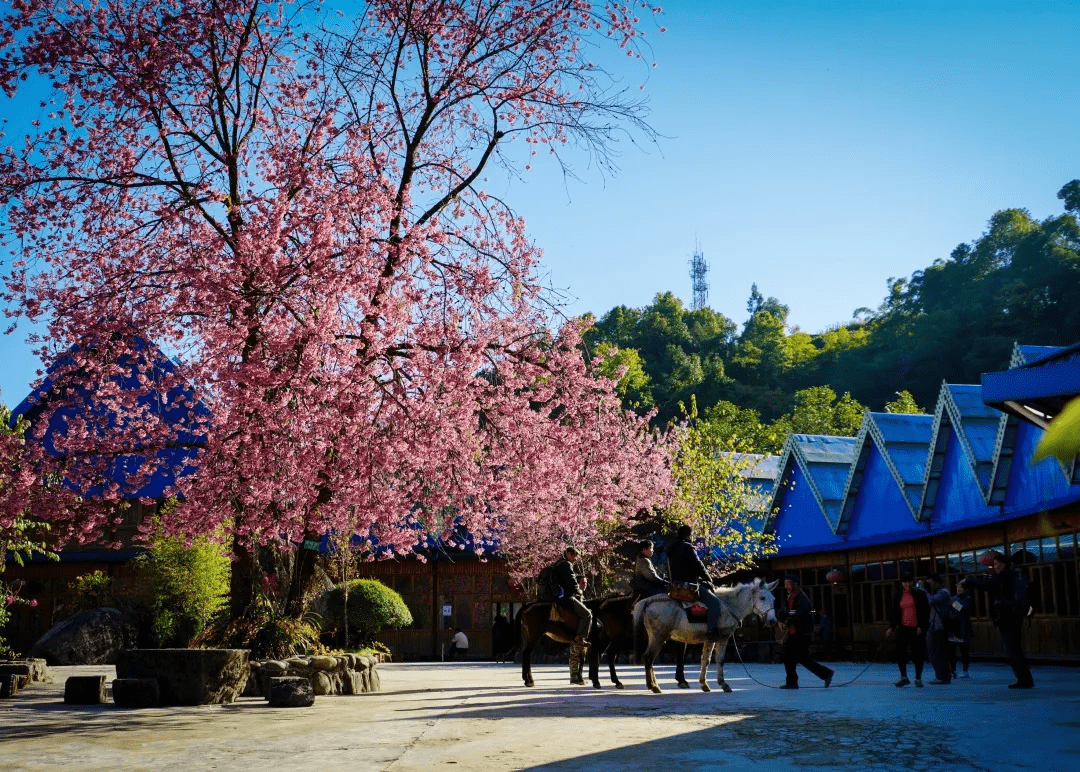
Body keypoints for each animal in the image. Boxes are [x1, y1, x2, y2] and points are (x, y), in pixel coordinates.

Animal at [630, 578, 777, 695]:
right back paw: (653, 686)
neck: (728, 606)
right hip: (659, 637)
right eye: (762, 598)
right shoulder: (723, 638)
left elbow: (705, 660)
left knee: (650, 659)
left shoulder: (710, 639)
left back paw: (654, 684)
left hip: (655, 637)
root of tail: (650, 600)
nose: (772, 621)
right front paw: (723, 684)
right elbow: (720, 660)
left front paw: (704, 684)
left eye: (774, 599)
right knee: (649, 658)